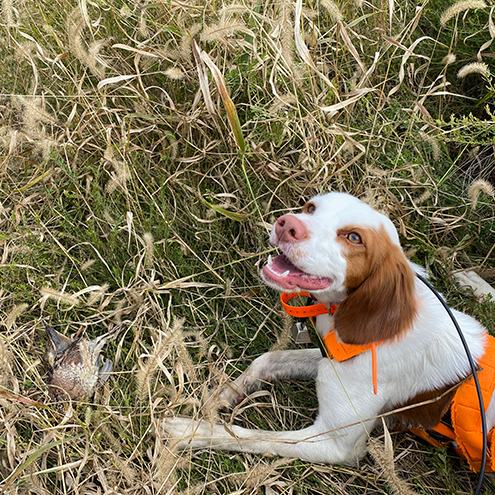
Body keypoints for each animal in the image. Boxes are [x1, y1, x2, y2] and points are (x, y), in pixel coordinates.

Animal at [163, 192, 492, 466]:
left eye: (354, 237)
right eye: (311, 208)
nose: (287, 224)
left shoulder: (335, 444)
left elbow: (252, 436)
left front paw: (189, 431)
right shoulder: (327, 359)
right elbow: (269, 358)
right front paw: (224, 393)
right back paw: (471, 279)